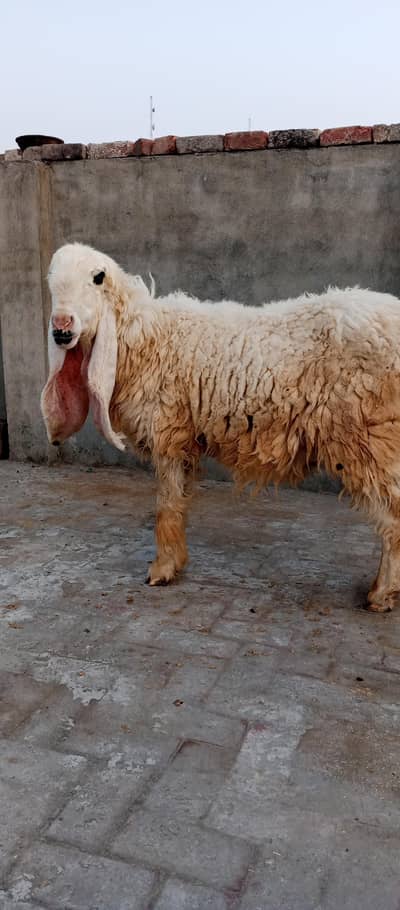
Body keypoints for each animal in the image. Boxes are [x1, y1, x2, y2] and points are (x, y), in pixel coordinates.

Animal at [40, 242, 400, 612]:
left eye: (97, 278)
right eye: (51, 281)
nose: (61, 329)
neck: (147, 336)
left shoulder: (168, 429)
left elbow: (165, 505)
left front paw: (162, 569)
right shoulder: (185, 436)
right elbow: (178, 502)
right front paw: (175, 561)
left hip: (370, 437)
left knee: (393, 518)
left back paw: (382, 594)